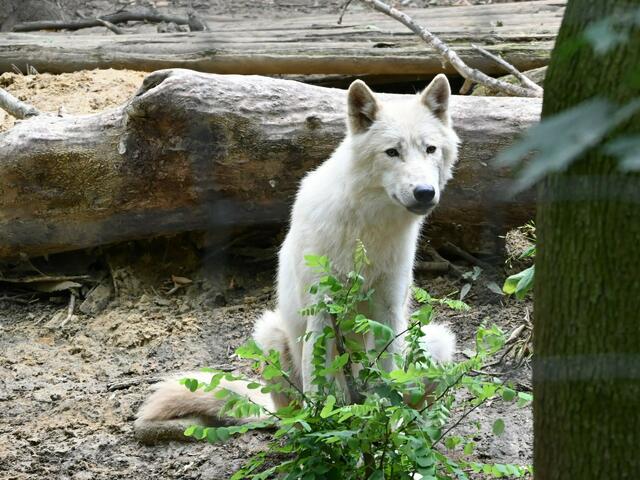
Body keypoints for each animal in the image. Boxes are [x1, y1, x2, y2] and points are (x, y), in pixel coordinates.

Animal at [134, 75, 459, 443]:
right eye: (392, 152)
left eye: (430, 149)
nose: (424, 193)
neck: (367, 230)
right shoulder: (320, 311)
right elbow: (321, 384)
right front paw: (328, 433)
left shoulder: (387, 312)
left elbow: (386, 378)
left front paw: (384, 426)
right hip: (270, 333)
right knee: (296, 410)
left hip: (439, 340)